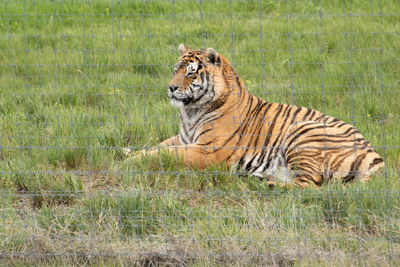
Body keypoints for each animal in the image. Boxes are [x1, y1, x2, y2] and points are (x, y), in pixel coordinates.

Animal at [126, 44, 384, 188]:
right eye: (175, 70)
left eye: (190, 73)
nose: (171, 88)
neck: (191, 110)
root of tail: (376, 156)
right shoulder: (182, 139)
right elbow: (155, 147)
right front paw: (127, 153)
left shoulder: (206, 151)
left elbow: (162, 154)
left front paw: (127, 163)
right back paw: (257, 177)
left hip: (302, 133)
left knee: (308, 186)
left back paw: (264, 184)